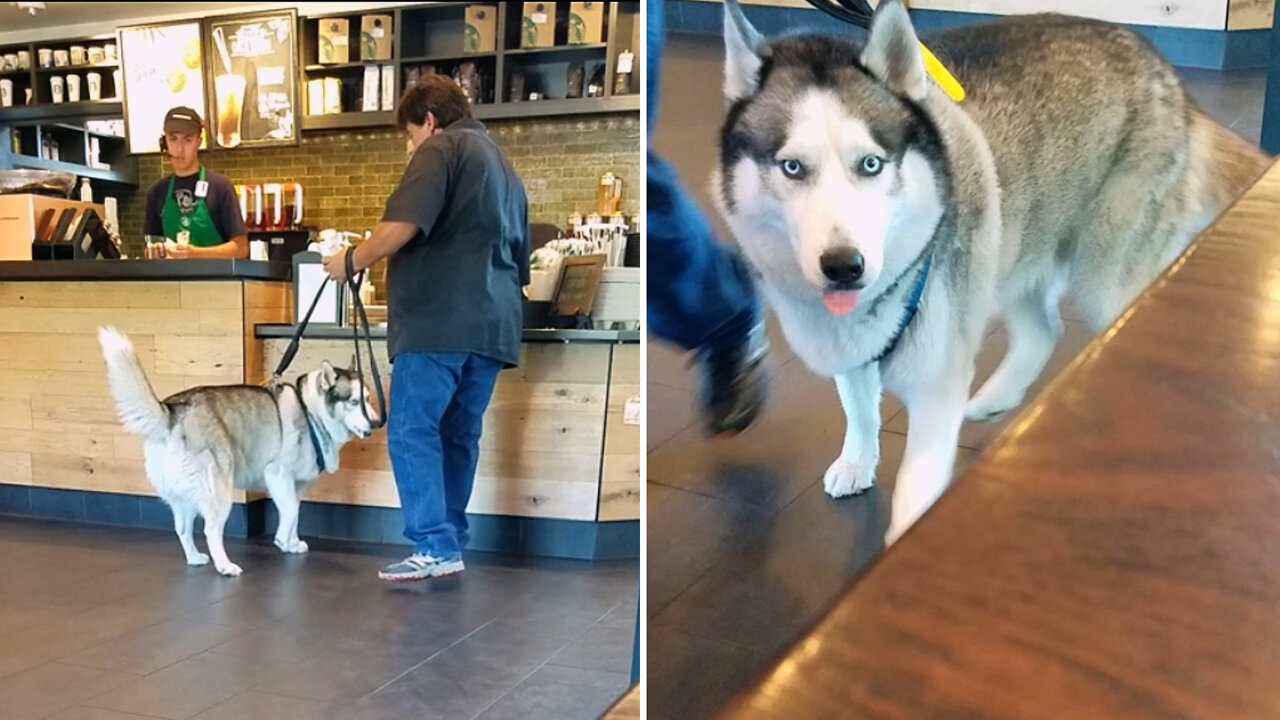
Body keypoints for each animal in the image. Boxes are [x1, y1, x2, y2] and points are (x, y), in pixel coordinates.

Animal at [99, 327, 371, 573]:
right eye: (354, 401)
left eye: (368, 398)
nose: (375, 424)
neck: (311, 412)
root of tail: (173, 410)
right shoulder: (278, 474)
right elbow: (291, 513)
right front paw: (283, 540)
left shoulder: (296, 486)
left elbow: (294, 512)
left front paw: (292, 543)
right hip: (219, 493)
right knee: (211, 531)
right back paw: (224, 566)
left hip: (184, 499)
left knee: (183, 530)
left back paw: (194, 558)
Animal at [716, 0, 1274, 538]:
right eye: (792, 167)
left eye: (871, 164)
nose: (843, 267)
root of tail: (1163, 69)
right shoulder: (849, 343)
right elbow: (857, 403)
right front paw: (857, 460)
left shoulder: (937, 384)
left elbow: (915, 487)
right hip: (1010, 243)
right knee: (1043, 330)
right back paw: (996, 397)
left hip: (1103, 279)